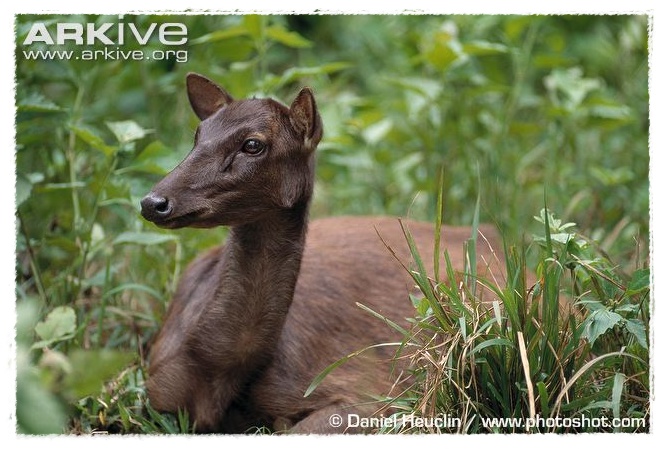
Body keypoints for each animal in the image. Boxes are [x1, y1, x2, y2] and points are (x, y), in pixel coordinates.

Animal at [140, 73, 504, 434]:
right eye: (198, 135)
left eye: (253, 144)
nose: (153, 202)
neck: (217, 375)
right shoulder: (158, 387)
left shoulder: (366, 393)